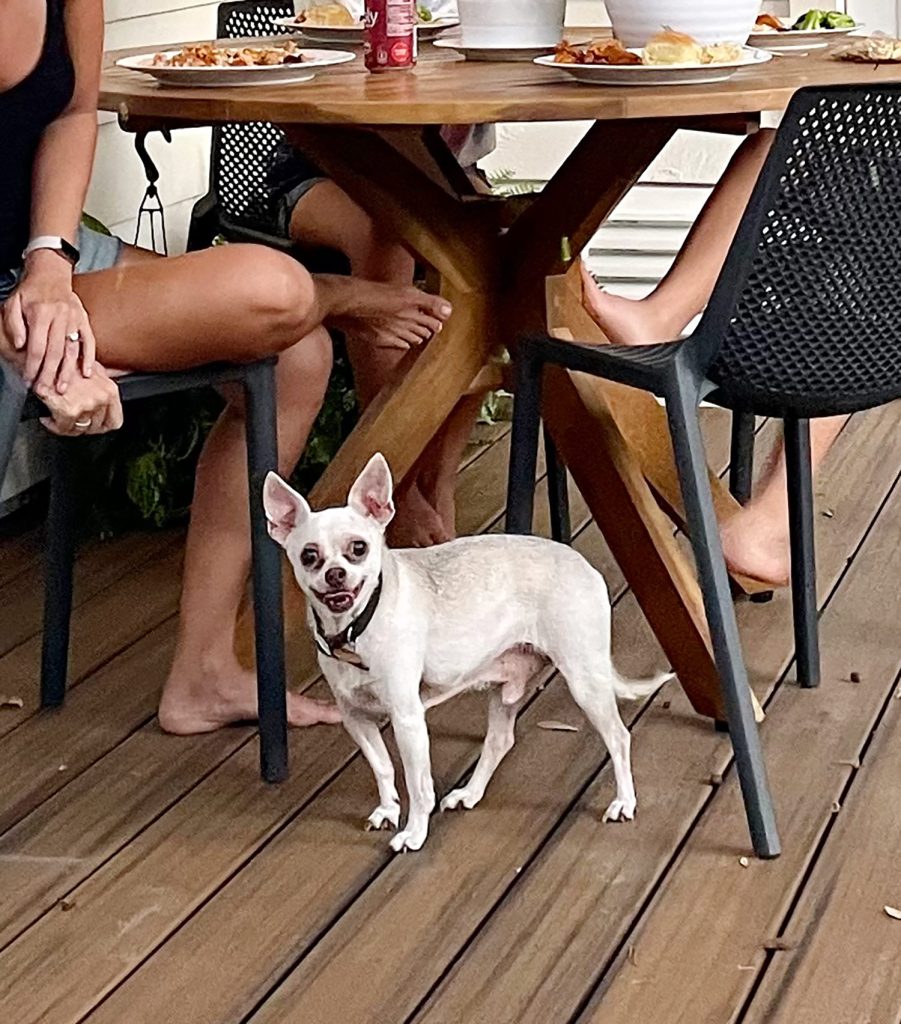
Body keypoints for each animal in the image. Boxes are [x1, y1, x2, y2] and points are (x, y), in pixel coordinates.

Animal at [262, 454, 667, 847]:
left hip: (585, 681)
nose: (334, 573)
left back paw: (624, 802)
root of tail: (583, 564)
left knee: (618, 737)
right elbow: (383, 768)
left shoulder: (407, 719)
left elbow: (418, 785)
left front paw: (414, 832)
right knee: (501, 741)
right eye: (309, 556)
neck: (354, 630)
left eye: (358, 548)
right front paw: (388, 810)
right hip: (505, 689)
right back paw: (469, 794)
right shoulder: (355, 717)